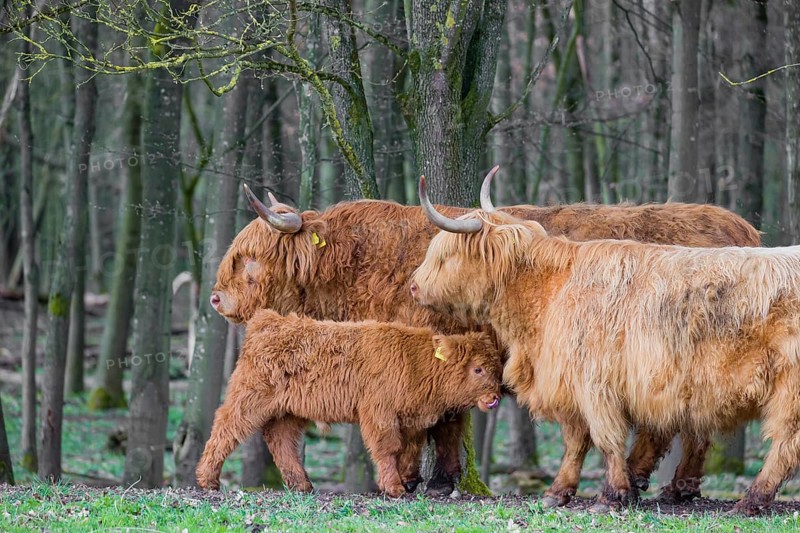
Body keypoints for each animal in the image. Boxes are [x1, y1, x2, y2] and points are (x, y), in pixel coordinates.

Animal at [195, 309, 503, 497]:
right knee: (226, 426)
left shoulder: (412, 420)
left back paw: (302, 485)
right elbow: (388, 448)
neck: (417, 361)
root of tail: (269, 321)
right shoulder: (379, 413)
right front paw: (394, 487)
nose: (495, 397)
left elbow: (410, 449)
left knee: (280, 440)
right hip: (249, 396)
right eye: (478, 369)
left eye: (497, 368)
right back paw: (207, 479)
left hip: (289, 411)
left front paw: (408, 480)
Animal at [410, 185, 800, 515]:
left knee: (784, 444)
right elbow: (575, 441)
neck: (550, 292)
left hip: (789, 391)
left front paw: (612, 496)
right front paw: (559, 491)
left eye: (445, 257)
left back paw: (751, 500)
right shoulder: (573, 387)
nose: (413, 286)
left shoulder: (595, 385)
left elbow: (605, 439)